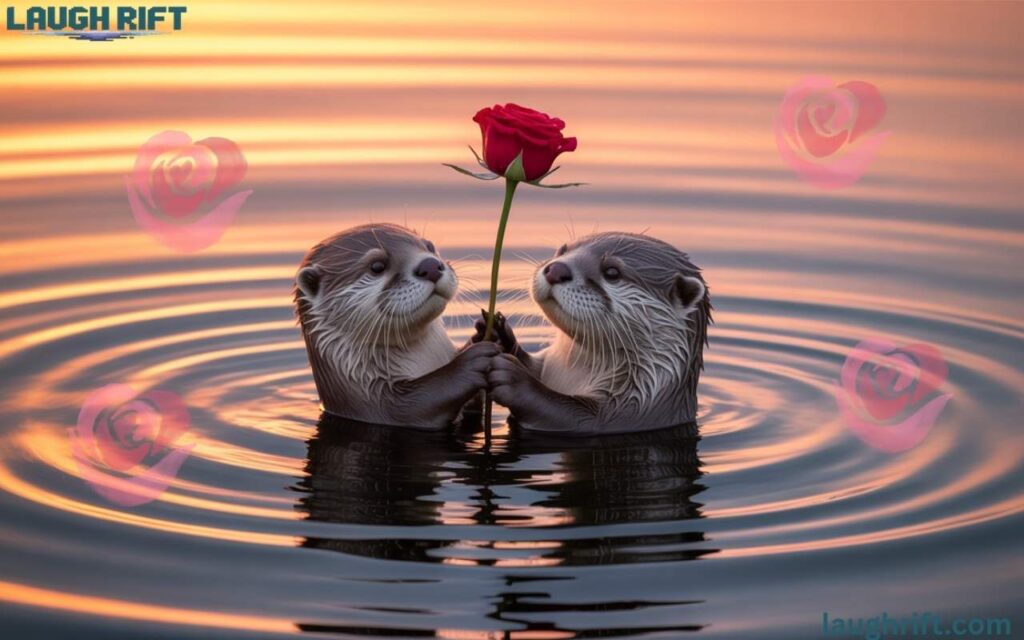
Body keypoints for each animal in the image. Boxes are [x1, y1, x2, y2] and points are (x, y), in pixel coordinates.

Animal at [294, 223, 498, 429]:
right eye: (377, 266)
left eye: (430, 247)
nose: (430, 265)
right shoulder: (376, 405)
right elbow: (418, 403)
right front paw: (470, 363)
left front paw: (490, 331)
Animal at [480, 232, 711, 435]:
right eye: (562, 250)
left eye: (612, 272)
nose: (556, 269)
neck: (574, 374)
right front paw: (497, 333)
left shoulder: (629, 414)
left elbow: (570, 415)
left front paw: (514, 379)